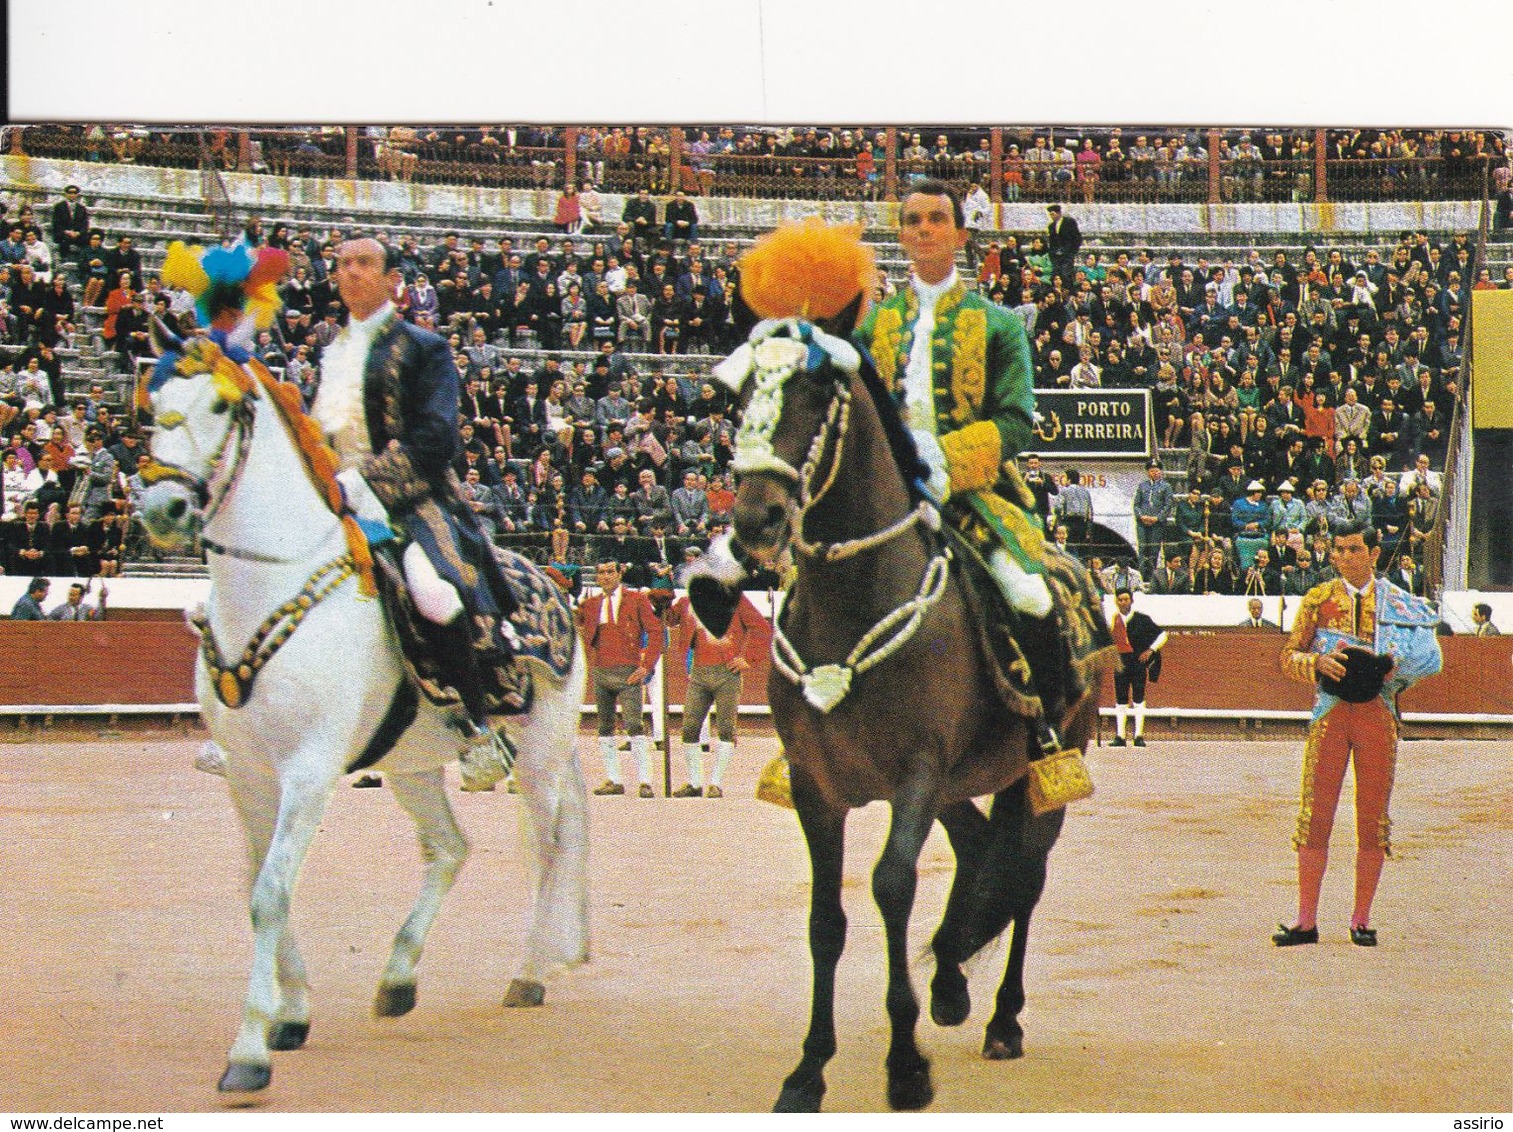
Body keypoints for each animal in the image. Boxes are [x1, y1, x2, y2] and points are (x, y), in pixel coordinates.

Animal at [140, 342, 590, 1089]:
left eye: (221, 406)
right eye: (153, 405)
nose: (162, 507)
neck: (272, 583)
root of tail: (553, 585)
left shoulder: (308, 772)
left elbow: (270, 891)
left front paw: (249, 1053)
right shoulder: (248, 773)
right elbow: (261, 884)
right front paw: (291, 1014)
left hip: (540, 753)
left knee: (551, 848)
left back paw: (529, 973)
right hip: (412, 768)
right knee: (449, 848)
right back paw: (398, 978)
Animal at [720, 320, 1101, 1113]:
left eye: (814, 394)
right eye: (741, 396)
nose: (754, 521)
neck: (853, 597)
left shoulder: (916, 775)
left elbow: (891, 885)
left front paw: (905, 1066)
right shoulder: (817, 788)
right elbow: (824, 919)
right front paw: (807, 1070)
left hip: (1049, 764)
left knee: (1025, 874)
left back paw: (1003, 1020)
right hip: (964, 779)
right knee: (979, 848)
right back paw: (952, 977)